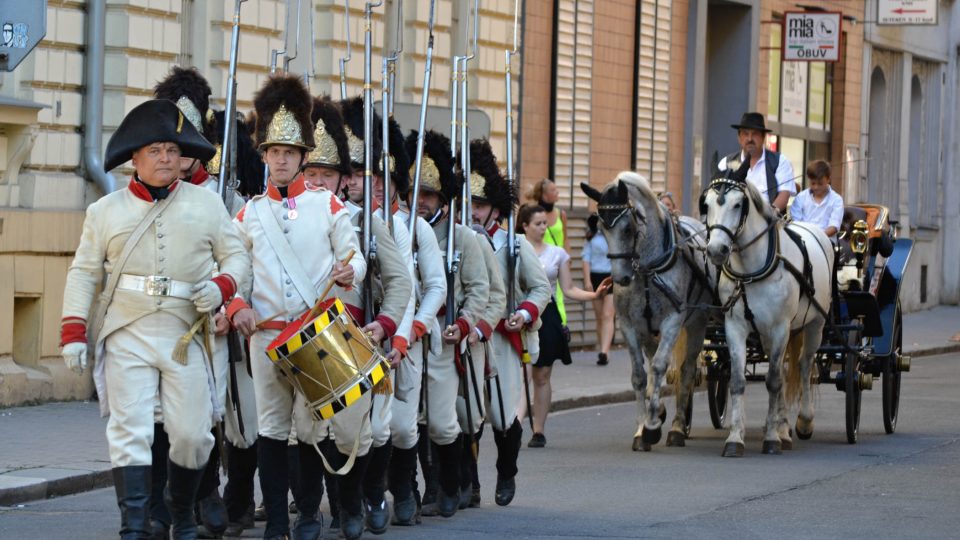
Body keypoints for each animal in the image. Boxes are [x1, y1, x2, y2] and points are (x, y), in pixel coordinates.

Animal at [580, 173, 716, 452]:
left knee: (686, 370)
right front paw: (643, 428)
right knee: (654, 361)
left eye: (628, 228)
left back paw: (676, 427)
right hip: (648, 332)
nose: (621, 278)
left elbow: (660, 366)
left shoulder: (673, 322)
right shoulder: (629, 326)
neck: (646, 269)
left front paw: (652, 426)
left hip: (697, 323)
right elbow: (640, 376)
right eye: (602, 229)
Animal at [696, 161, 832, 456]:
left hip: (814, 324)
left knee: (804, 365)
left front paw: (770, 439)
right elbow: (739, 381)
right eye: (707, 203)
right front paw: (736, 438)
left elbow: (773, 381)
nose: (716, 250)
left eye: (738, 204)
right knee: (781, 369)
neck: (750, 269)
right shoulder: (735, 327)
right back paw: (783, 429)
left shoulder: (781, 327)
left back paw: (803, 422)